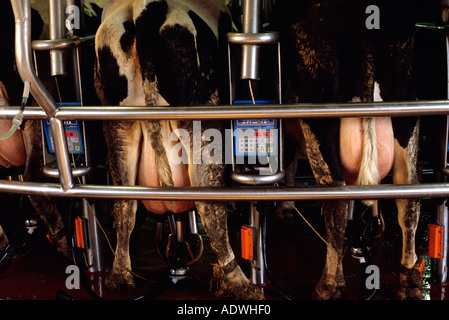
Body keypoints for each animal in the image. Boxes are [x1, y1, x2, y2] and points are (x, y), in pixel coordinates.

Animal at [94, 0, 262, 300]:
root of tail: (145, 8)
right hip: (201, 116)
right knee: (210, 205)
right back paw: (239, 283)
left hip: (117, 122)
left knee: (124, 204)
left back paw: (119, 275)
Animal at [272, 0, 422, 300]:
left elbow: (289, 161)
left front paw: (285, 208)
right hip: (404, 98)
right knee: (409, 194)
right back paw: (408, 278)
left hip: (319, 114)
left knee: (336, 200)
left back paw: (328, 285)